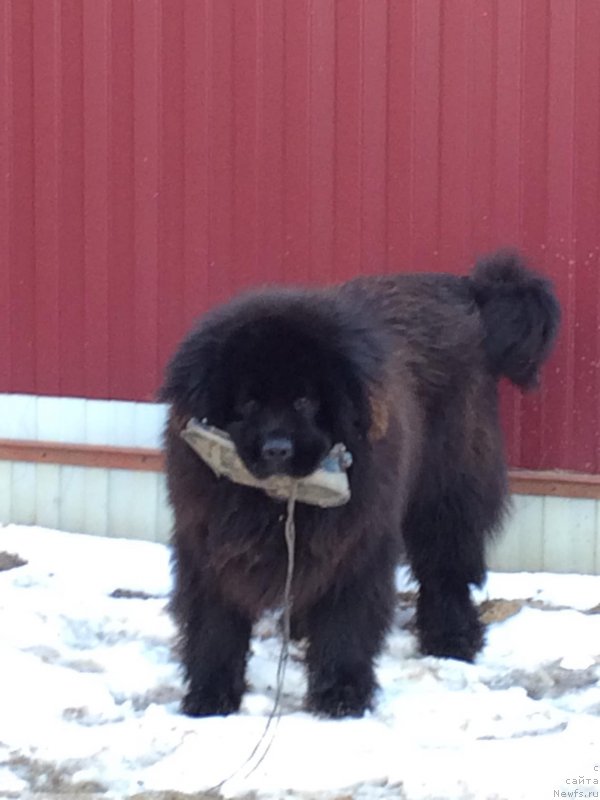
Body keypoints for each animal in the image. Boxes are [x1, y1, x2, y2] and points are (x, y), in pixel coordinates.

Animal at [159, 250, 556, 720]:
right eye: (248, 403)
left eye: (305, 401)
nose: (277, 448)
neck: (278, 503)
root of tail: (466, 289)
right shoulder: (208, 544)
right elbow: (215, 626)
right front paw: (210, 696)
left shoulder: (357, 541)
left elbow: (345, 622)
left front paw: (341, 694)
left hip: (445, 492)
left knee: (446, 569)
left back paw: (452, 639)